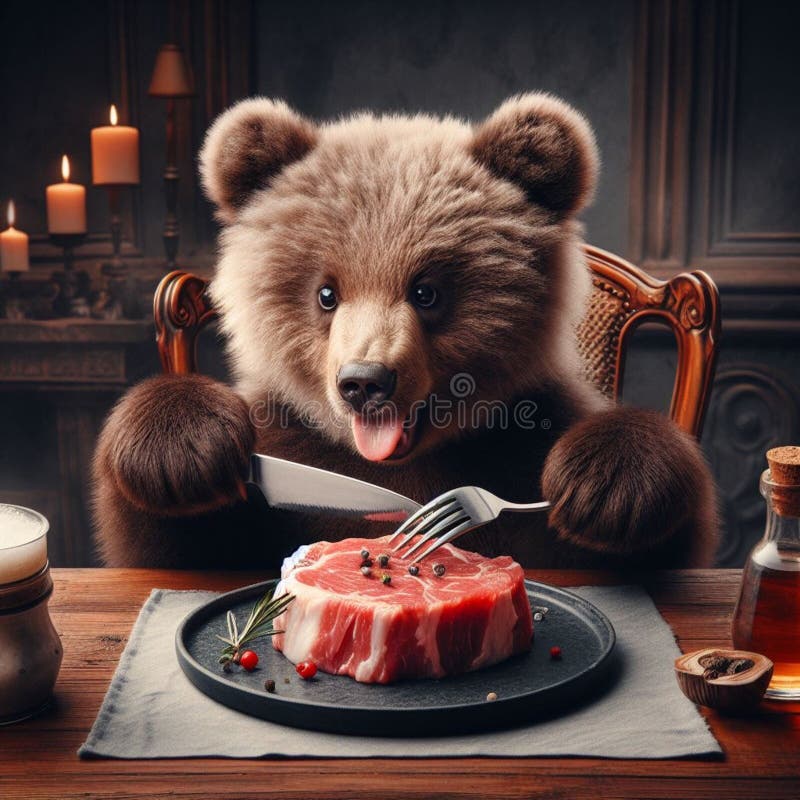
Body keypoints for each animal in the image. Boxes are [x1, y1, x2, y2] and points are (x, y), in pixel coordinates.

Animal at [92, 93, 717, 570]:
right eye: (326, 293)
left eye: (427, 291)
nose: (365, 381)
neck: (398, 460)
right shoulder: (289, 445)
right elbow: (175, 549)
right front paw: (182, 450)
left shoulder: (519, 443)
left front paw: (604, 486)